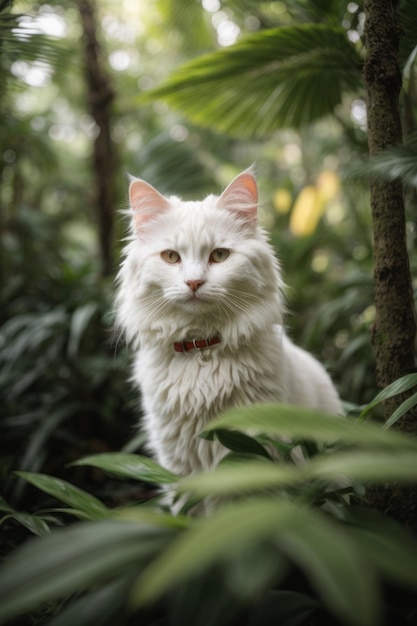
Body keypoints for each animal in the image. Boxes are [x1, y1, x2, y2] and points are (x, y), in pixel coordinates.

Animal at [116, 168, 342, 476]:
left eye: (219, 255)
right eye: (171, 257)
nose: (194, 282)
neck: (201, 347)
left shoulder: (261, 446)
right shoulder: (177, 462)